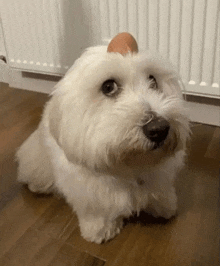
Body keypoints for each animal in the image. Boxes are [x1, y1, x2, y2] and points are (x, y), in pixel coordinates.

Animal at [16, 32, 190, 243]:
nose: (159, 129)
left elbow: (162, 191)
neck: (131, 164)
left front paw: (165, 206)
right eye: (108, 87)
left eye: (153, 81)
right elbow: (97, 211)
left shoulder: (161, 176)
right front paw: (99, 230)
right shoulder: (89, 191)